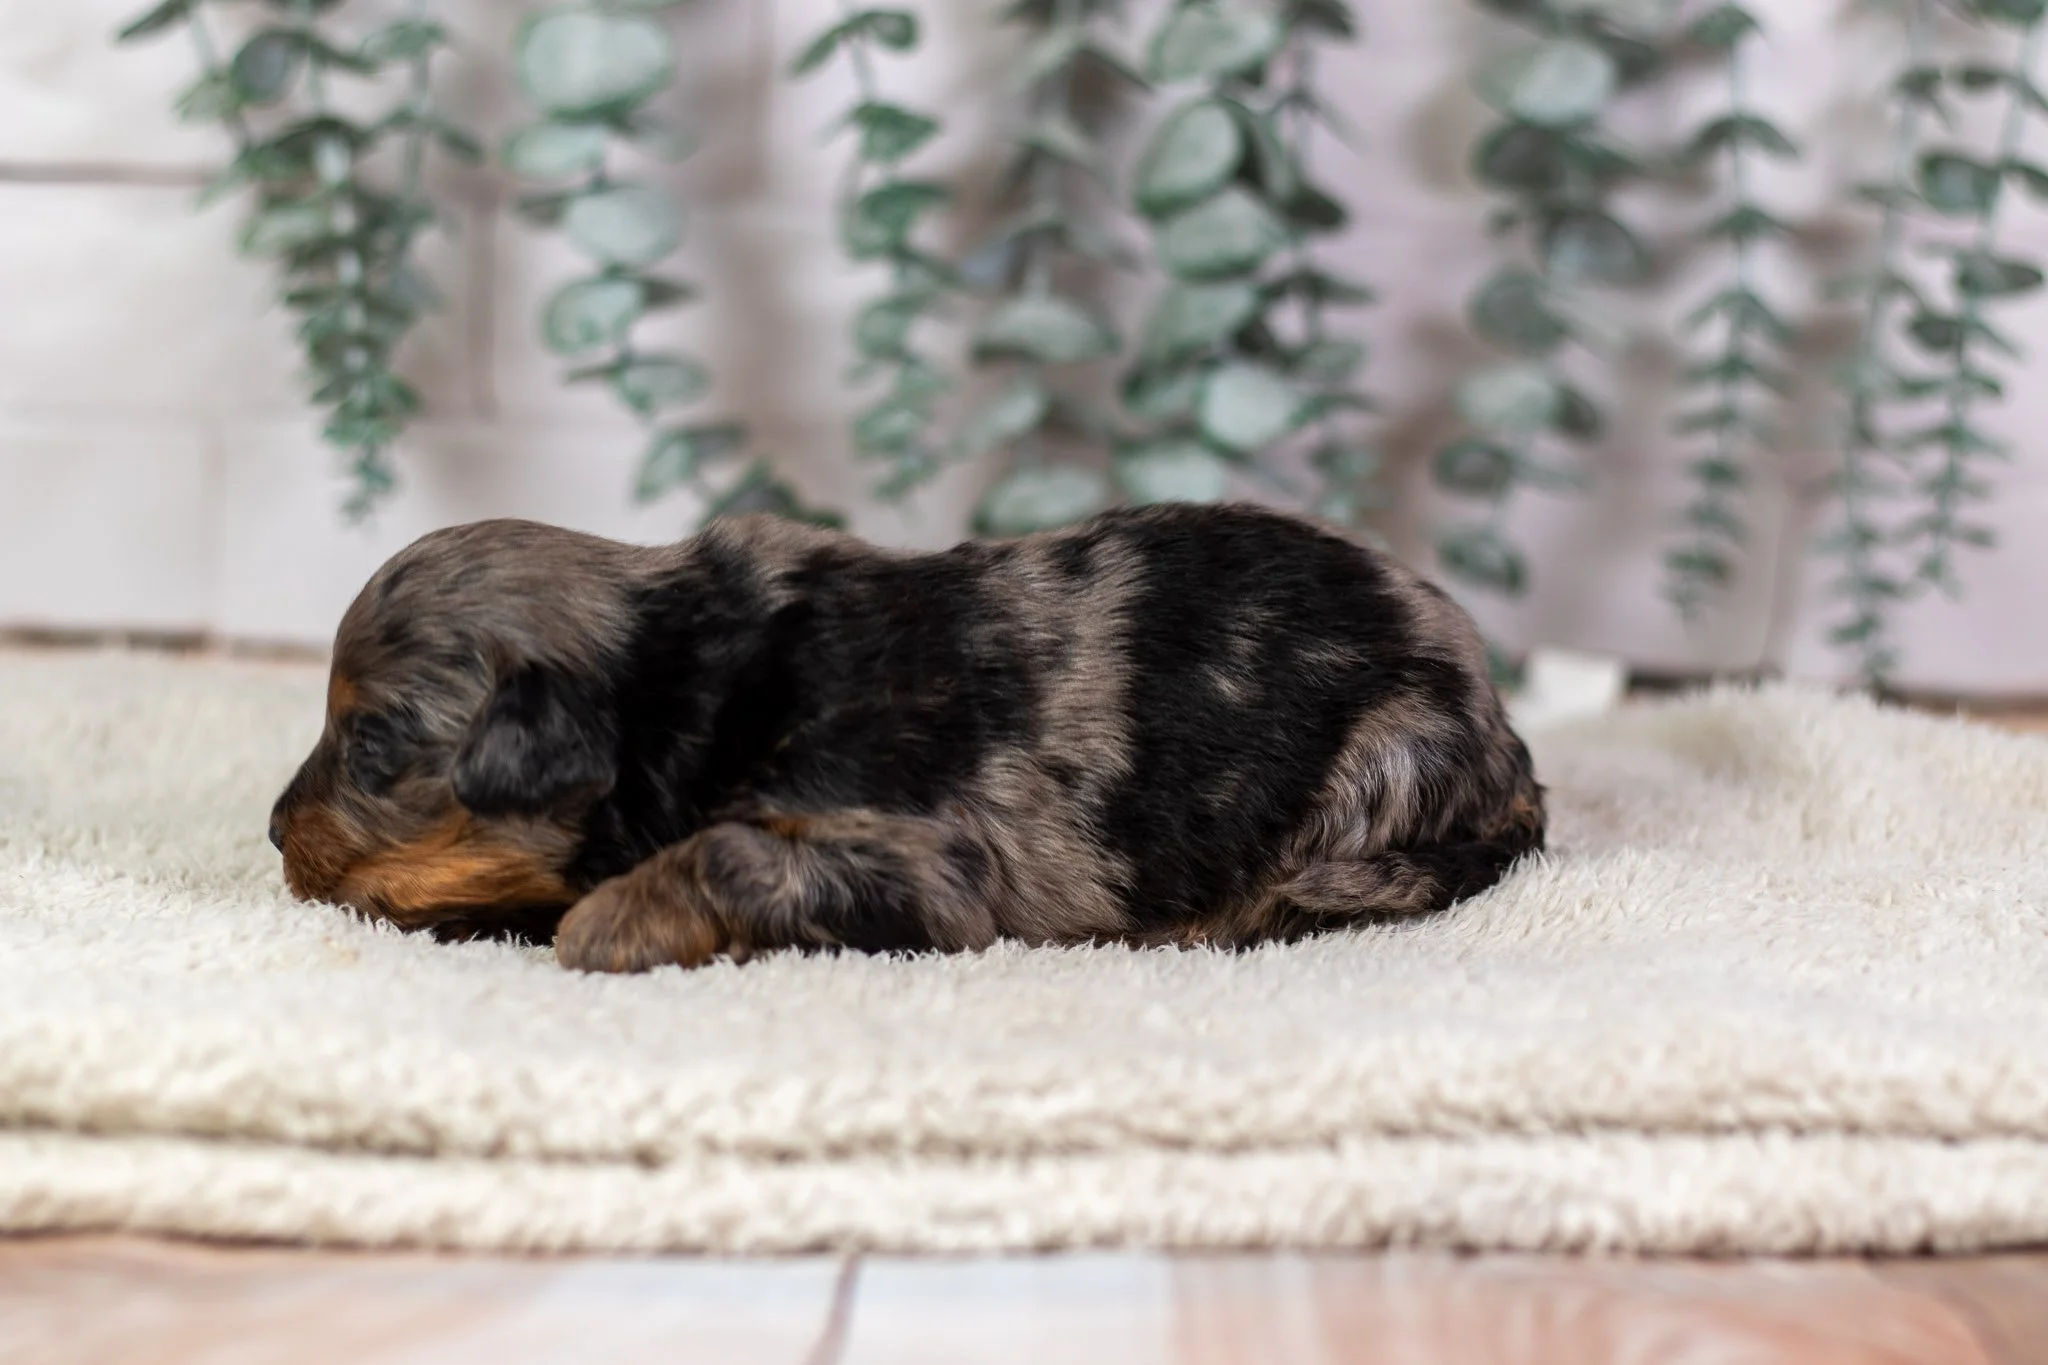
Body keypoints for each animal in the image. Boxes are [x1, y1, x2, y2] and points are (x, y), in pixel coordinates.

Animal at [269, 503, 1545, 972]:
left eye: (372, 743)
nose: (275, 831)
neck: (693, 683)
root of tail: (1505, 740)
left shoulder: (927, 867)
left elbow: (723, 850)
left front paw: (609, 921)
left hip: (1388, 759)